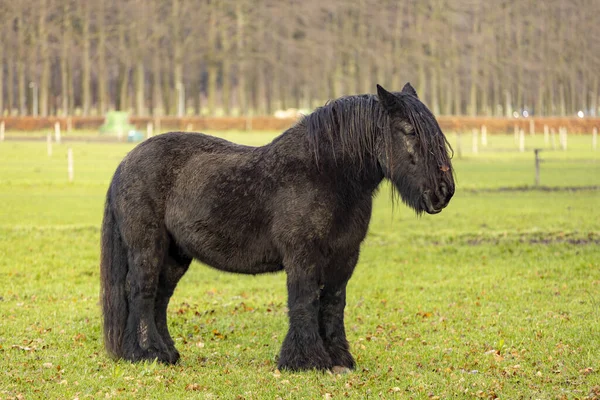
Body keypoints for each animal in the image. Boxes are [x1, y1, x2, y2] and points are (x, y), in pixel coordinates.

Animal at [99, 83, 454, 372]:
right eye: (408, 130)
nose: (444, 191)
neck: (325, 174)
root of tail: (125, 162)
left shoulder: (344, 257)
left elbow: (333, 303)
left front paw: (339, 360)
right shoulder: (302, 254)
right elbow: (304, 300)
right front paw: (305, 361)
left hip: (175, 256)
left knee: (159, 297)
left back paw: (168, 353)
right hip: (147, 247)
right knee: (141, 292)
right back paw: (145, 354)